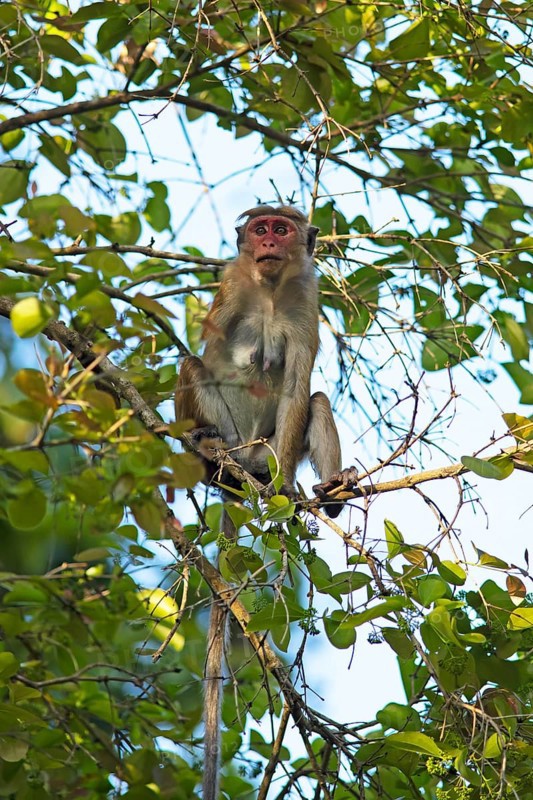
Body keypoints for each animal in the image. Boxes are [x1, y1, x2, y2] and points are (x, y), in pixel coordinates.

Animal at [175, 204, 342, 800]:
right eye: (261, 226)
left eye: (283, 228)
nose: (268, 242)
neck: (269, 289)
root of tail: (242, 465)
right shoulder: (230, 284)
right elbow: (206, 355)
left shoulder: (308, 298)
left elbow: (297, 386)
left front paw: (289, 490)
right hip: (230, 438)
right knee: (193, 368)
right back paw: (206, 450)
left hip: (267, 451)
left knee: (317, 401)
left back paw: (328, 493)